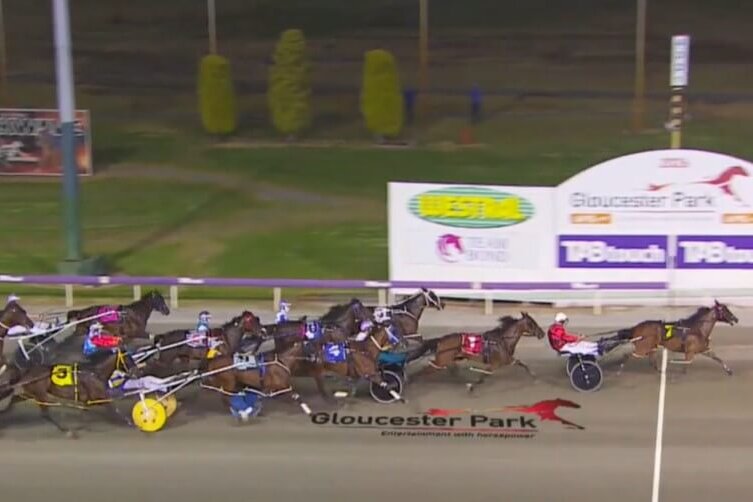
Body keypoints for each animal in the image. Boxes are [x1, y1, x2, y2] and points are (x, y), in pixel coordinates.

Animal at [0, 348, 140, 437]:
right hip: (41, 394)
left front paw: (83, 426)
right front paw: (131, 422)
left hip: (30, 393)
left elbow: (84, 413)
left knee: (15, 399)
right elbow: (115, 409)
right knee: (46, 413)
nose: (137, 372)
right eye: (128, 359)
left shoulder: (87, 400)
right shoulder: (100, 396)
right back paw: (67, 430)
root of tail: (27, 371)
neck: (95, 373)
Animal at [412, 312, 545, 392]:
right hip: (441, 361)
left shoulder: (508, 360)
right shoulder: (495, 364)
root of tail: (441, 340)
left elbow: (523, 364)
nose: (542, 333)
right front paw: (470, 386)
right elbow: (483, 377)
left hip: (448, 359)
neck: (502, 341)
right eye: (532, 323)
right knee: (425, 370)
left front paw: (535, 377)